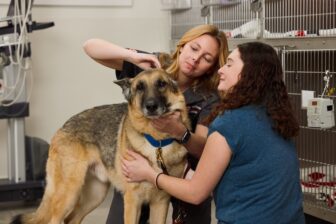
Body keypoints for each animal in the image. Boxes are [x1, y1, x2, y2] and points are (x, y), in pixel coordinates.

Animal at [11, 68, 190, 224]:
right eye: (140, 88)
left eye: (161, 84)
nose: (151, 106)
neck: (157, 142)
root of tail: (62, 127)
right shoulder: (133, 201)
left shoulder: (160, 203)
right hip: (69, 193)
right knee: (55, 220)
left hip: (95, 195)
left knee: (71, 219)